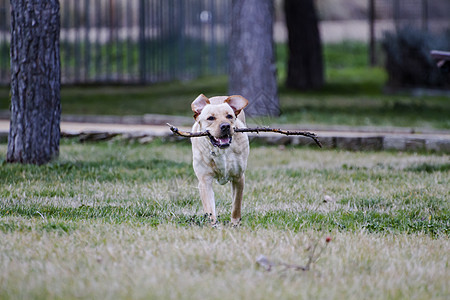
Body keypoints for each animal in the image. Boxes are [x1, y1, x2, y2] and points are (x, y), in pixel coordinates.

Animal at [190, 94, 250, 225]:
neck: (221, 151)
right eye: (210, 118)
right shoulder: (205, 181)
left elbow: (236, 204)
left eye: (229, 116)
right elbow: (209, 208)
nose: (226, 126)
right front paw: (213, 225)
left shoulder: (239, 177)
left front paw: (235, 223)